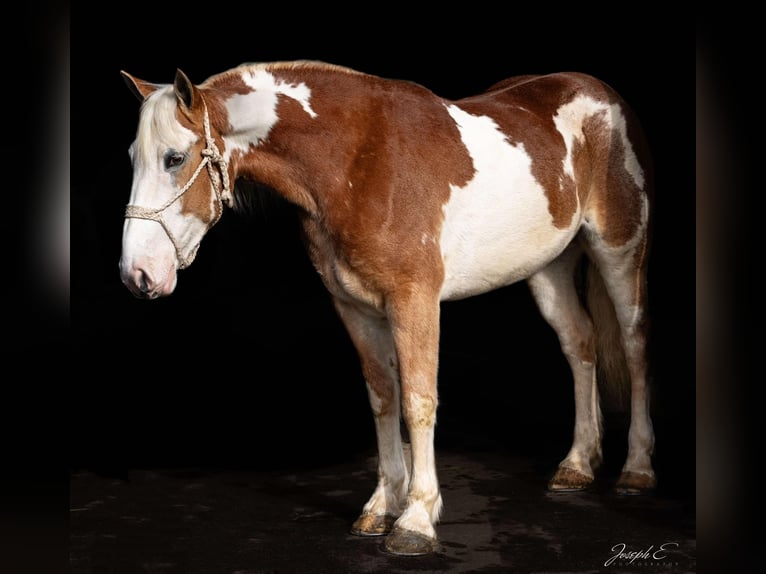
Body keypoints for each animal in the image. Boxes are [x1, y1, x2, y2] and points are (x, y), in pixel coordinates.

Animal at [118, 60, 656, 556]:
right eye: (132, 158)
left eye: (174, 158)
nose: (137, 274)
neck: (357, 162)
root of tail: (600, 93)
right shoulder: (355, 307)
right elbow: (382, 399)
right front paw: (381, 506)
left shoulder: (414, 300)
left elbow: (418, 401)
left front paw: (417, 518)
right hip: (549, 267)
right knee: (580, 343)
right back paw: (577, 464)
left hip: (619, 249)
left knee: (633, 346)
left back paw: (636, 470)